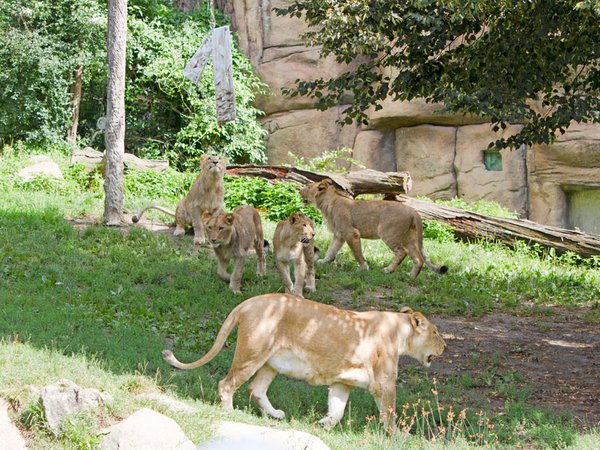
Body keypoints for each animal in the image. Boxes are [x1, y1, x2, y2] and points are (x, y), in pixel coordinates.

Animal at [163, 296, 446, 428]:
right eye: (435, 332)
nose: (444, 345)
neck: (400, 331)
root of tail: (247, 302)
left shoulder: (343, 381)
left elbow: (337, 410)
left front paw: (323, 425)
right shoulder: (385, 383)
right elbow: (390, 412)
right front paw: (394, 434)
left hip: (270, 362)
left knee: (256, 389)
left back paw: (276, 414)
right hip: (252, 353)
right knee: (227, 383)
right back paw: (229, 413)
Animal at [300, 178, 446, 278]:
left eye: (308, 186)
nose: (299, 190)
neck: (328, 203)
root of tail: (414, 211)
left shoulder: (351, 233)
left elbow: (357, 253)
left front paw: (364, 268)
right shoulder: (339, 235)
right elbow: (331, 250)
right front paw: (323, 262)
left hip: (389, 234)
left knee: (402, 252)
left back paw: (388, 270)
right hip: (409, 238)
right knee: (418, 258)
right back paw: (411, 277)